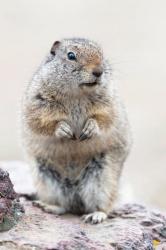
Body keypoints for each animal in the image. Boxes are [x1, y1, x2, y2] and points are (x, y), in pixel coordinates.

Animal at [21, 38, 132, 224]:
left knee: (103, 206)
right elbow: (41, 122)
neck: (77, 94)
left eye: (102, 54)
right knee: (64, 206)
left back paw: (96, 215)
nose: (98, 71)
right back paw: (48, 206)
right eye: (71, 55)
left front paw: (90, 128)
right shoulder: (37, 104)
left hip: (102, 179)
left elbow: (104, 118)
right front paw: (63, 129)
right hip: (46, 179)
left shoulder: (109, 104)